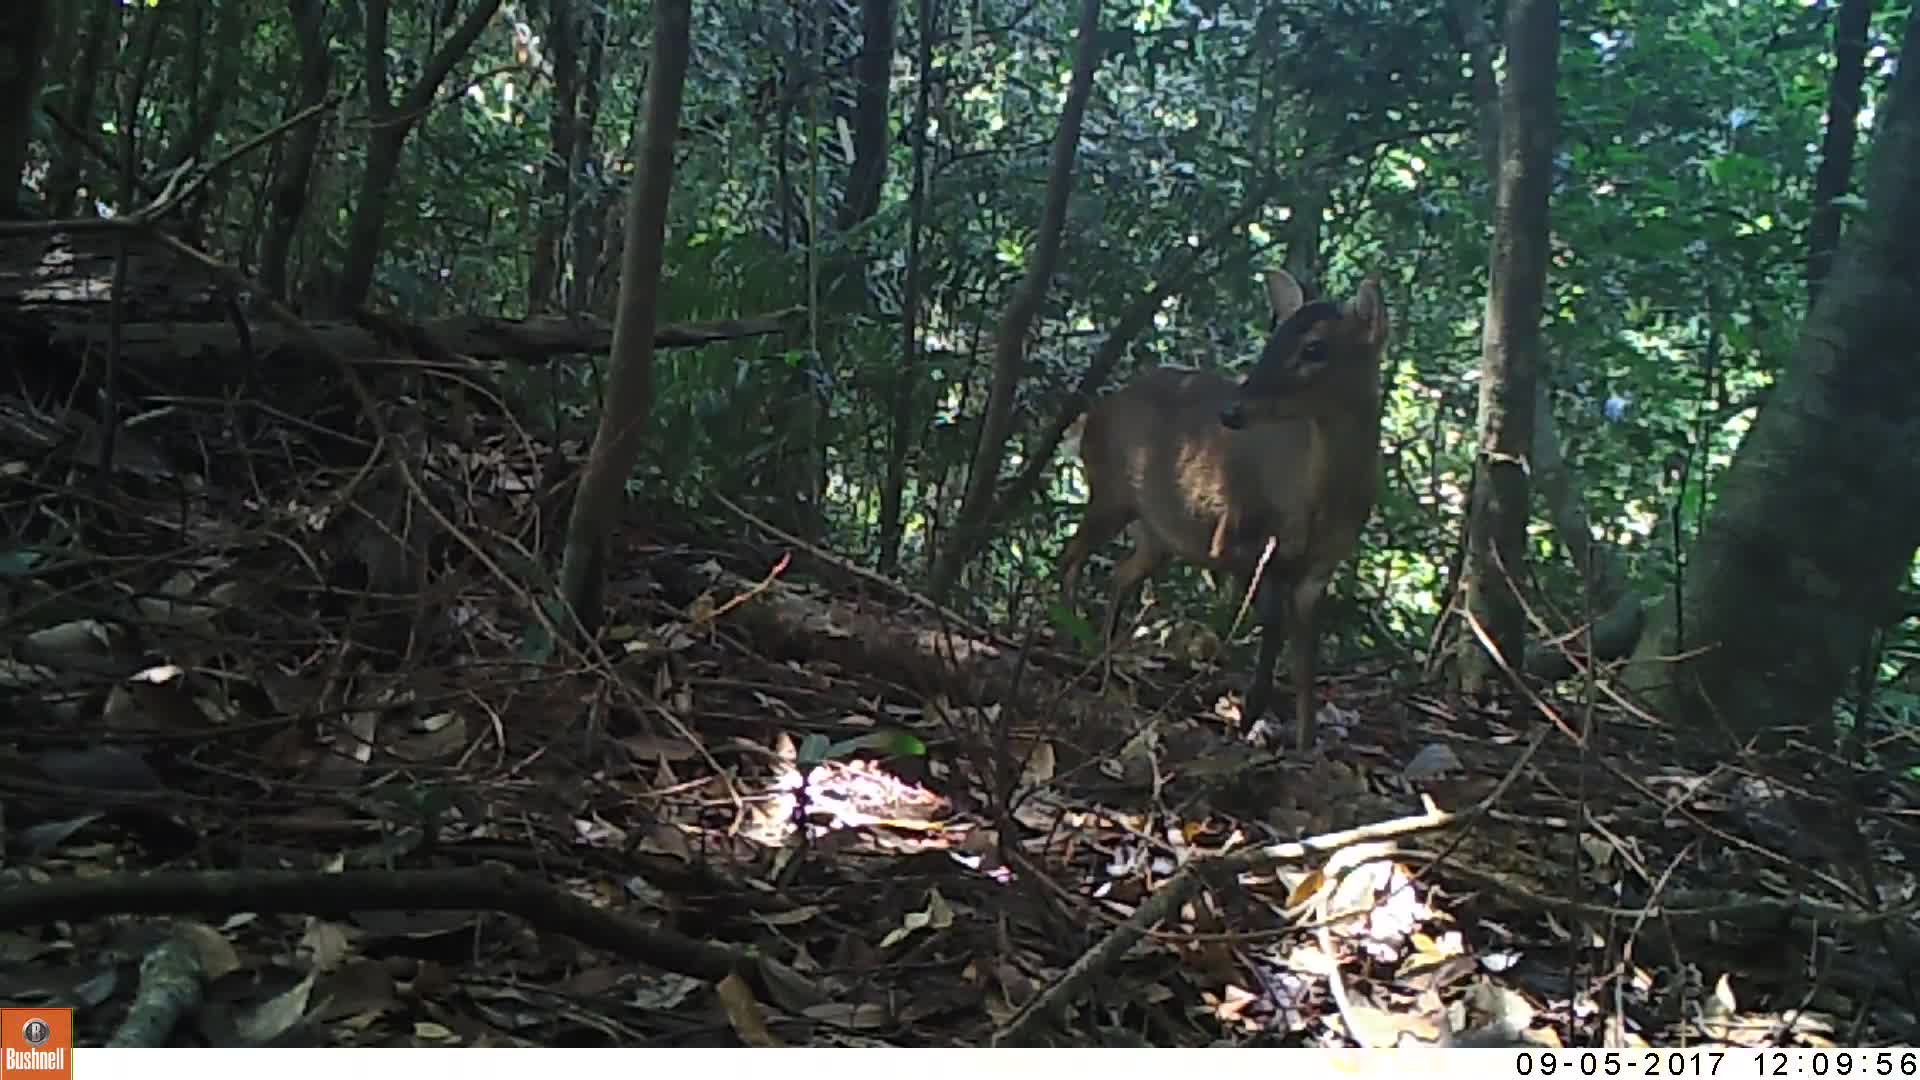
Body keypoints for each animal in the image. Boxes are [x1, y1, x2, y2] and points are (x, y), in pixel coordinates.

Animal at [1059, 269, 1390, 749]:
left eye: (1315, 348)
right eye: (1274, 336)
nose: (1232, 411)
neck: (1316, 503)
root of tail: (1092, 414)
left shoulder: (1319, 568)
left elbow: (1305, 663)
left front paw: (1306, 742)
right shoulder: (1238, 538)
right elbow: (1270, 626)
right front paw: (1248, 717)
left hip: (1157, 534)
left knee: (1118, 574)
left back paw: (1103, 662)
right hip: (1110, 492)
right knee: (1070, 557)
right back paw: (1066, 639)